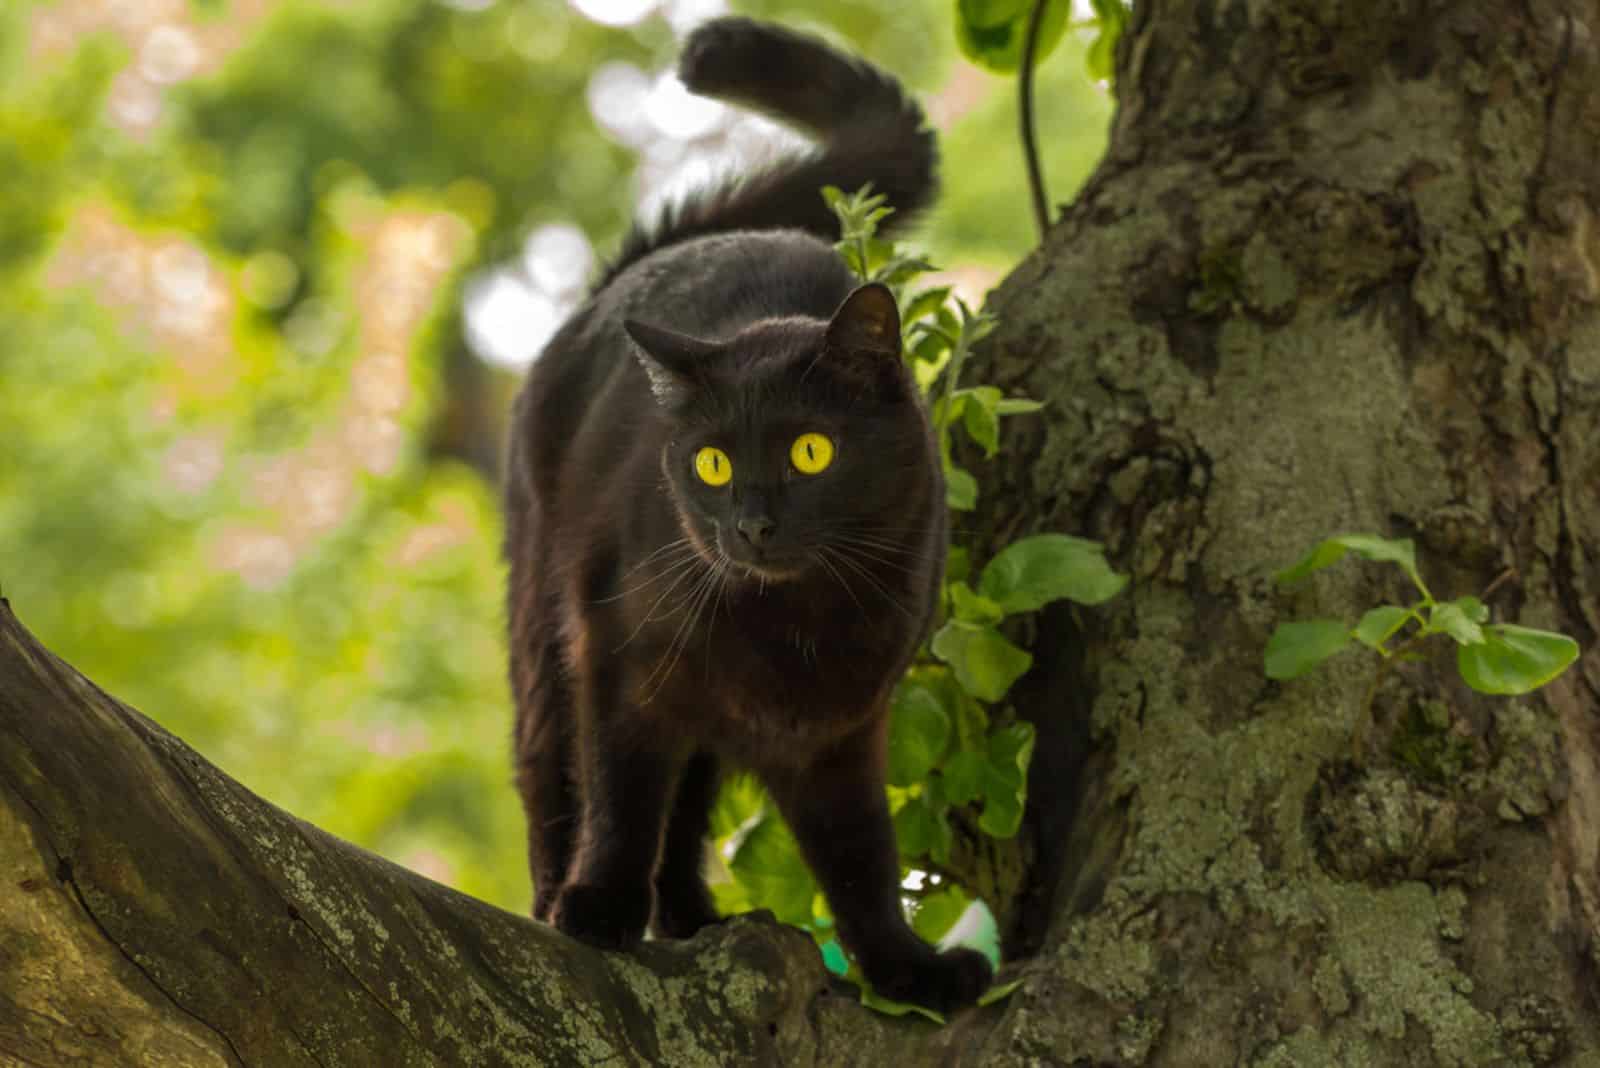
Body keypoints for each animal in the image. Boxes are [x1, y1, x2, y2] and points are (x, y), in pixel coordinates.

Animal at [505, 20, 992, 1016]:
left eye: (810, 452)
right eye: (712, 464)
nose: (751, 526)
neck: (793, 620)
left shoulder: (843, 728)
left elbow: (860, 857)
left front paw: (906, 970)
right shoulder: (622, 661)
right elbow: (620, 796)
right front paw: (598, 906)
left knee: (688, 808)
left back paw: (694, 918)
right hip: (545, 629)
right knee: (554, 774)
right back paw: (561, 896)